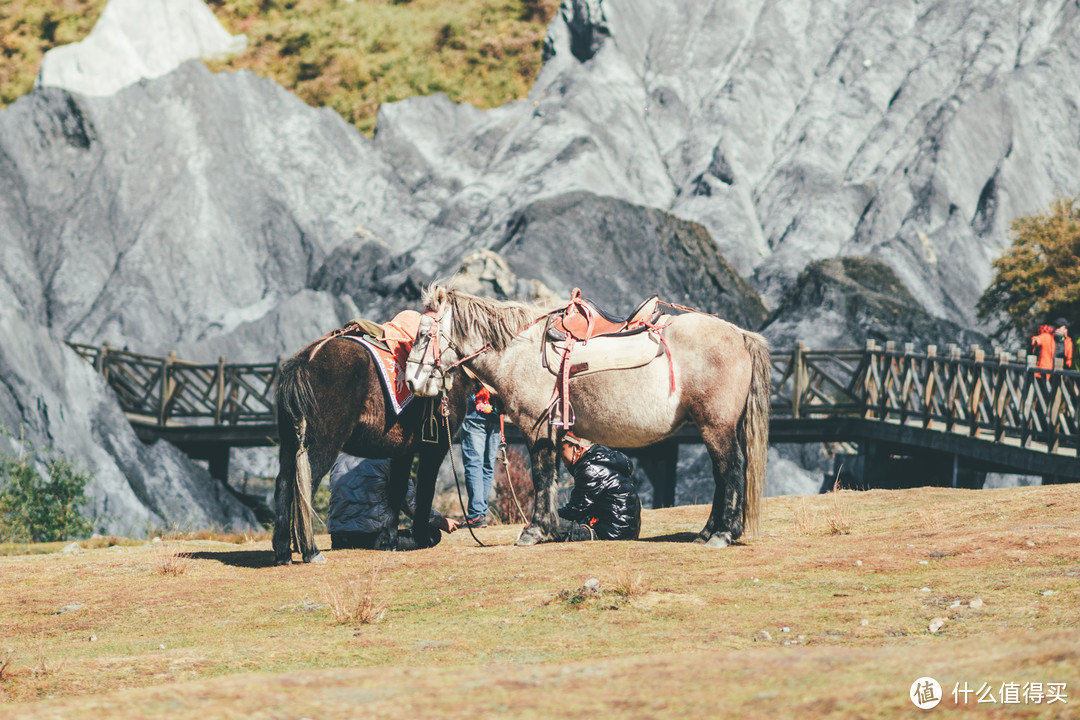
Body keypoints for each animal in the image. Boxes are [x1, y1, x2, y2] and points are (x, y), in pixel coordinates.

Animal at [274, 330, 468, 561]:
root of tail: (305, 359)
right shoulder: (434, 449)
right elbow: (424, 492)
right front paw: (420, 537)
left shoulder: (403, 452)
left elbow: (397, 491)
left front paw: (389, 540)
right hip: (324, 444)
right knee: (305, 485)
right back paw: (310, 550)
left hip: (289, 443)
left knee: (284, 484)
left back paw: (283, 551)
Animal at [406, 287, 768, 546]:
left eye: (424, 334)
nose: (411, 382)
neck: (518, 353)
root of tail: (739, 334)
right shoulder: (550, 431)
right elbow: (550, 477)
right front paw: (547, 529)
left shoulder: (537, 428)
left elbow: (542, 477)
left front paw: (535, 530)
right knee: (723, 474)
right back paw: (708, 532)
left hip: (716, 425)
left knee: (731, 470)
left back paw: (723, 533)